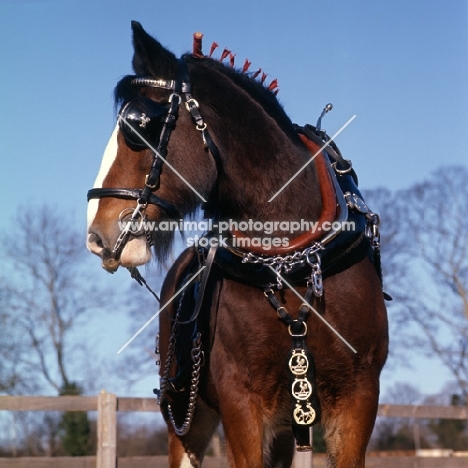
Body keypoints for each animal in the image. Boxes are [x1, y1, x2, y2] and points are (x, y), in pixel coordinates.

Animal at [87, 22, 388, 468]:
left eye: (138, 128)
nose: (96, 236)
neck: (290, 262)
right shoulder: (241, 402)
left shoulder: (358, 396)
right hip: (185, 415)